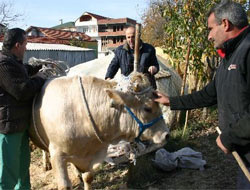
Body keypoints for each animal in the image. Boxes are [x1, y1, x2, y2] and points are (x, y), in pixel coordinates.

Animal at [29, 72, 170, 189]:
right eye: (147, 108)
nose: (166, 134)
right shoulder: (57, 155)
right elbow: (65, 186)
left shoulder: (93, 155)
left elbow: (88, 177)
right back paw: (46, 164)